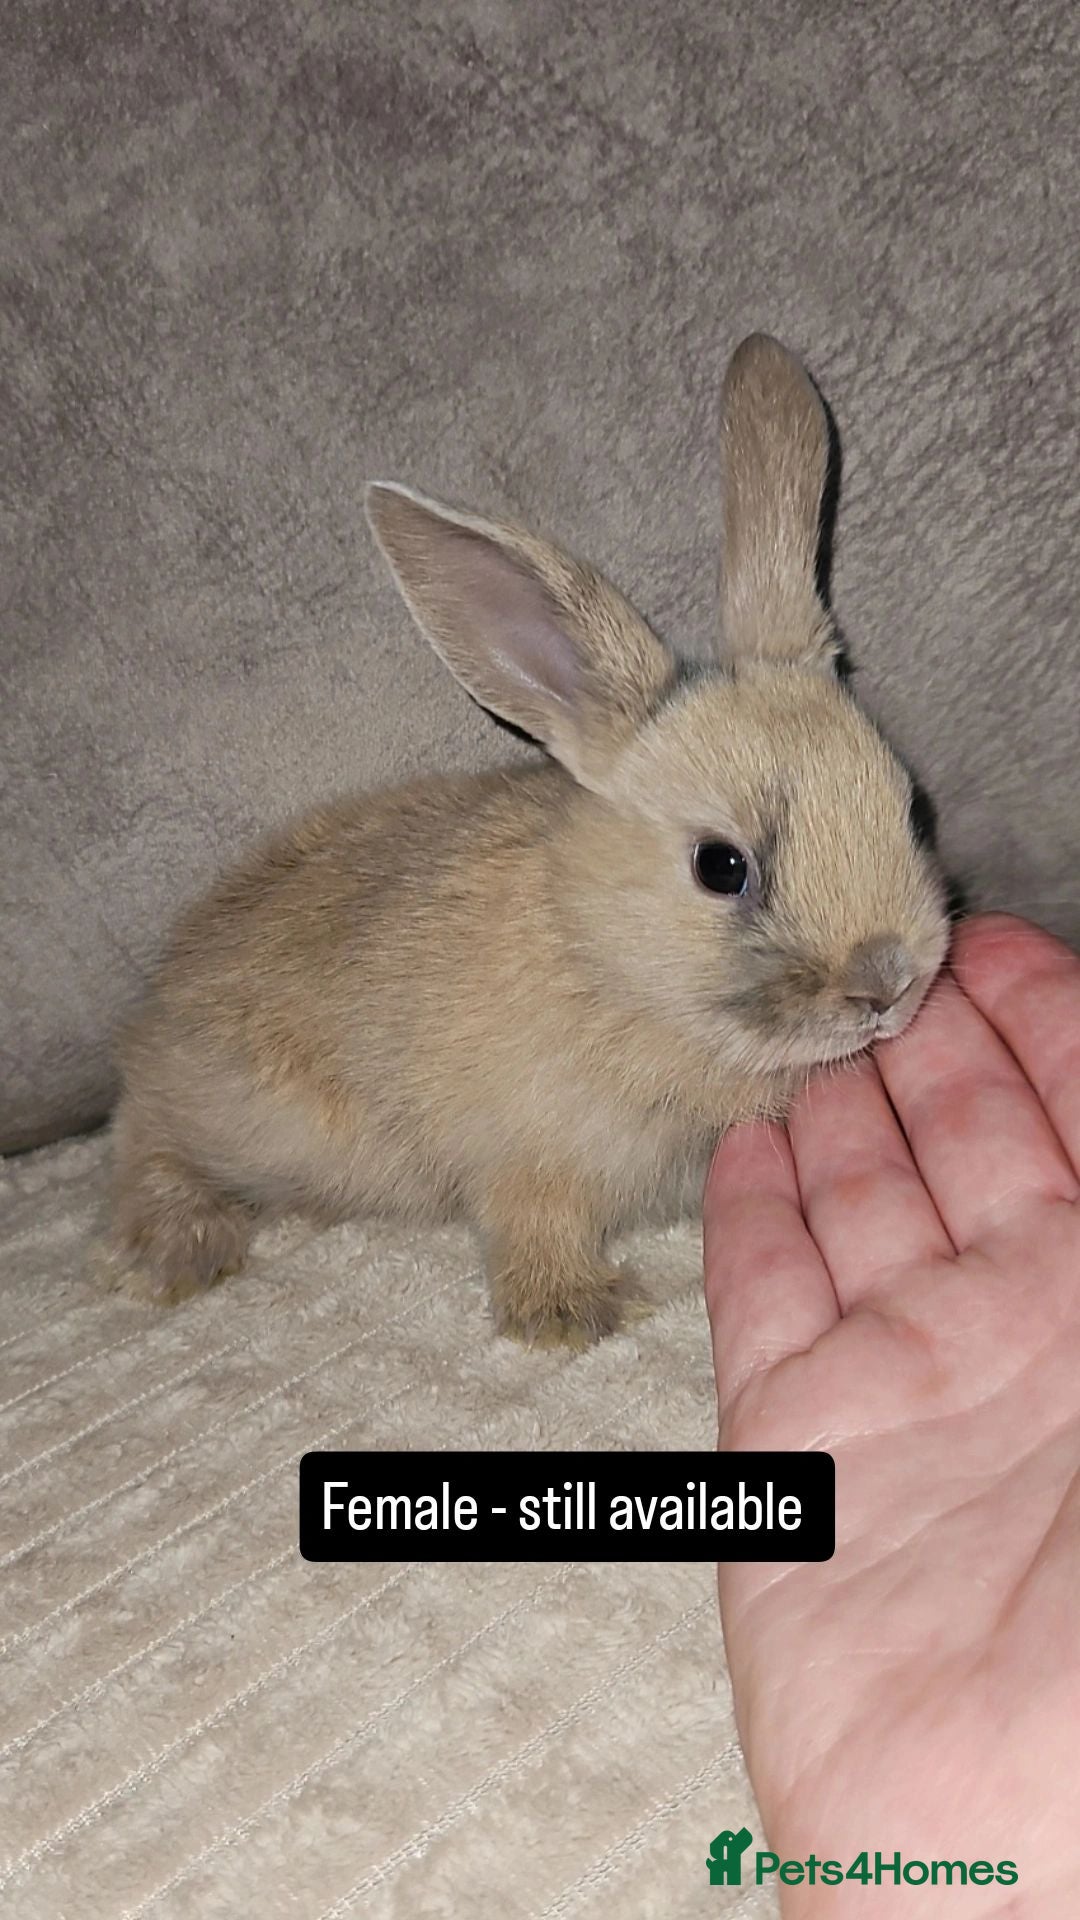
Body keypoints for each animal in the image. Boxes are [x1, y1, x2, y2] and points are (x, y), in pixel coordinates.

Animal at [107, 334, 950, 1346]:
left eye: (912, 808)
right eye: (721, 866)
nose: (888, 983)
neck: (604, 960)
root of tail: (156, 1011)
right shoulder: (524, 1158)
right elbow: (532, 1227)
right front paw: (575, 1315)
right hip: (225, 1113)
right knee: (142, 1136)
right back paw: (182, 1249)